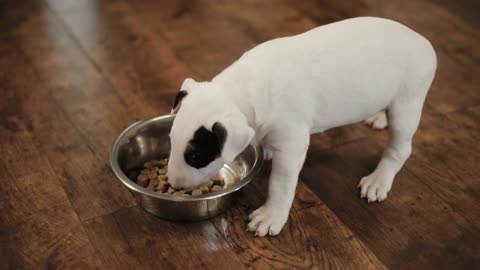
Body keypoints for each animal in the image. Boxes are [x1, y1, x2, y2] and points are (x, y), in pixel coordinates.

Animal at [167, 16, 436, 236]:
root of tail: (423, 41)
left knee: (401, 147)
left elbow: (280, 183)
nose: (174, 185)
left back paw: (379, 180)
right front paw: (266, 149)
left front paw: (270, 216)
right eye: (170, 141)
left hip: (407, 102)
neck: (241, 91)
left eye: (196, 156)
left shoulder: (292, 143)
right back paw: (379, 117)